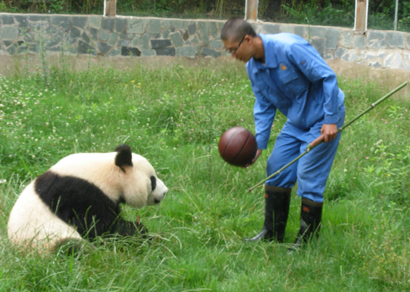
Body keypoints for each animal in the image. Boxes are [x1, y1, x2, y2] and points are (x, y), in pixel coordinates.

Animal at [6, 144, 167, 253]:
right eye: (153, 181)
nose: (165, 191)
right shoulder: (79, 194)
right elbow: (98, 227)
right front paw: (139, 231)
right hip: (44, 241)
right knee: (69, 248)